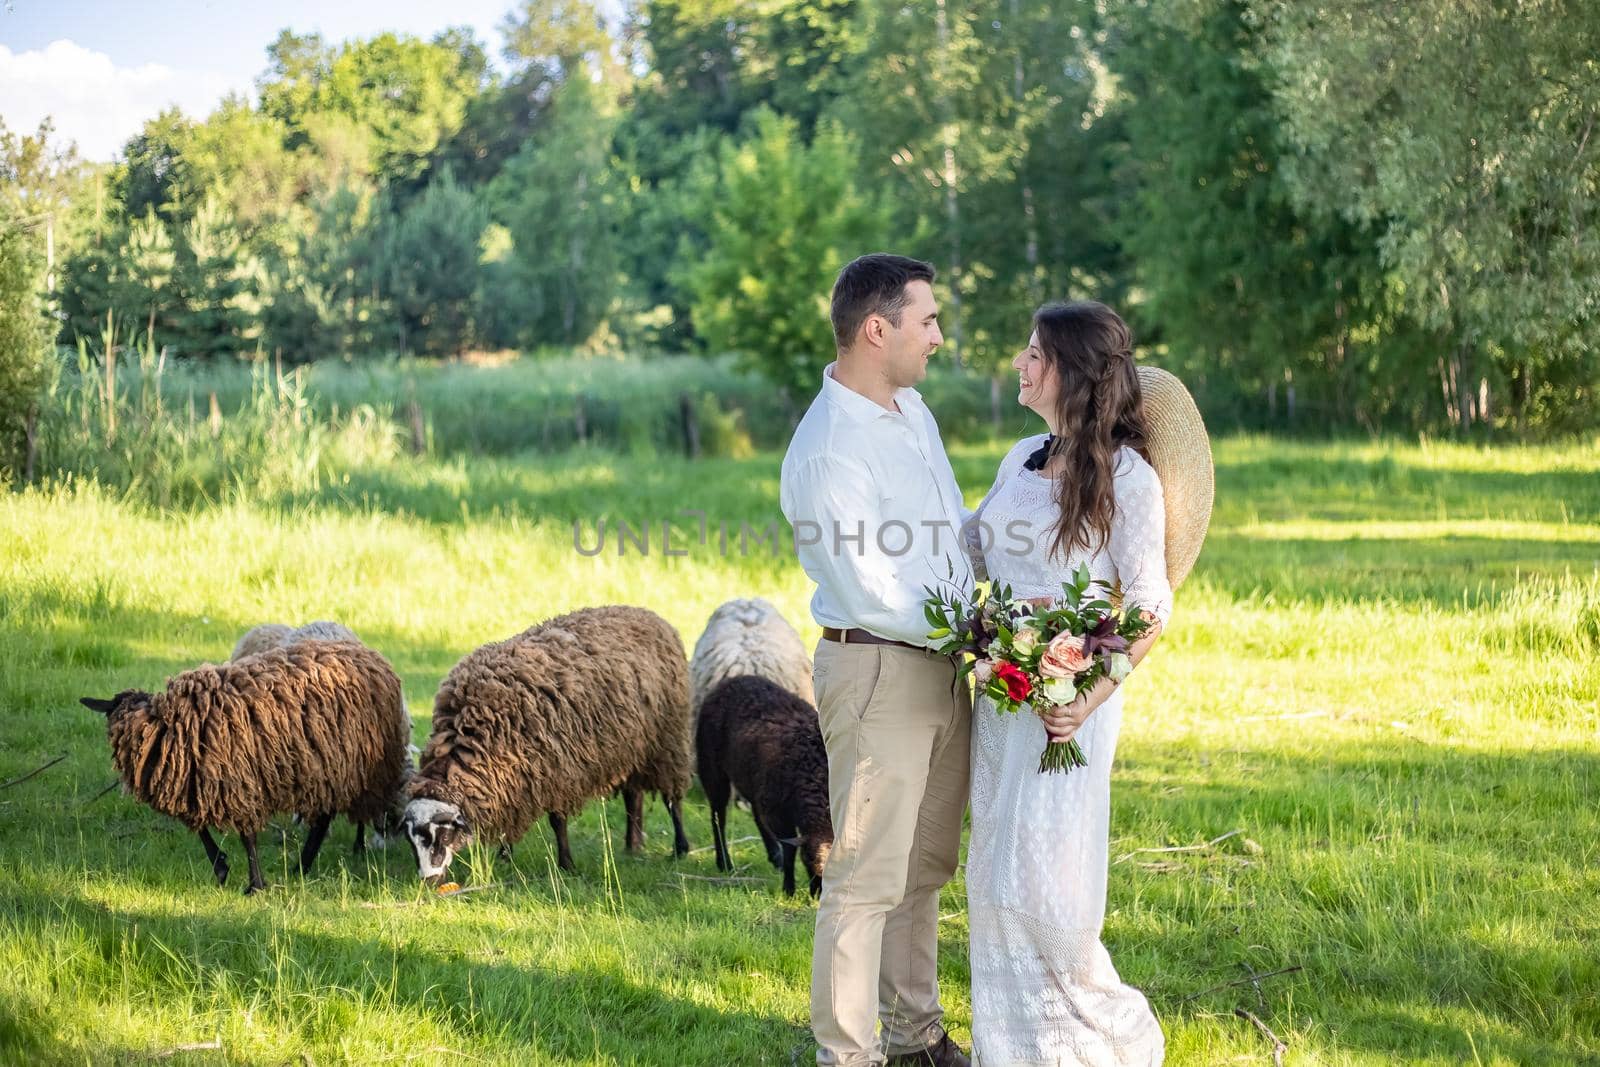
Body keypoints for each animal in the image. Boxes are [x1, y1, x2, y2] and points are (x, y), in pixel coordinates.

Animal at [80, 643, 409, 895]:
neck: (162, 728)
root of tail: (375, 657)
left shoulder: (238, 783)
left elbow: (246, 837)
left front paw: (254, 885)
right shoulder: (201, 782)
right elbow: (200, 827)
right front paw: (221, 866)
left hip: (360, 768)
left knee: (331, 816)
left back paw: (303, 863)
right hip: (331, 768)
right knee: (324, 817)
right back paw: (302, 865)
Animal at [403, 604, 691, 883]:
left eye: (442, 835)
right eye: (411, 842)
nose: (428, 882)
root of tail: (650, 615)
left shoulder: (558, 773)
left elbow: (558, 821)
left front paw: (566, 864)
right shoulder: (510, 781)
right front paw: (505, 858)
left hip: (668, 740)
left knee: (672, 799)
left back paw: (680, 848)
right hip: (632, 747)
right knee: (634, 795)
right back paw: (632, 846)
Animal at [694, 675, 832, 895]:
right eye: (809, 858)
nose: (820, 894)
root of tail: (734, 679)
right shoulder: (777, 813)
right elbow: (791, 849)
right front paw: (789, 889)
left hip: (753, 781)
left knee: (756, 815)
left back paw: (774, 857)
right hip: (711, 768)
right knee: (718, 816)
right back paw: (724, 863)